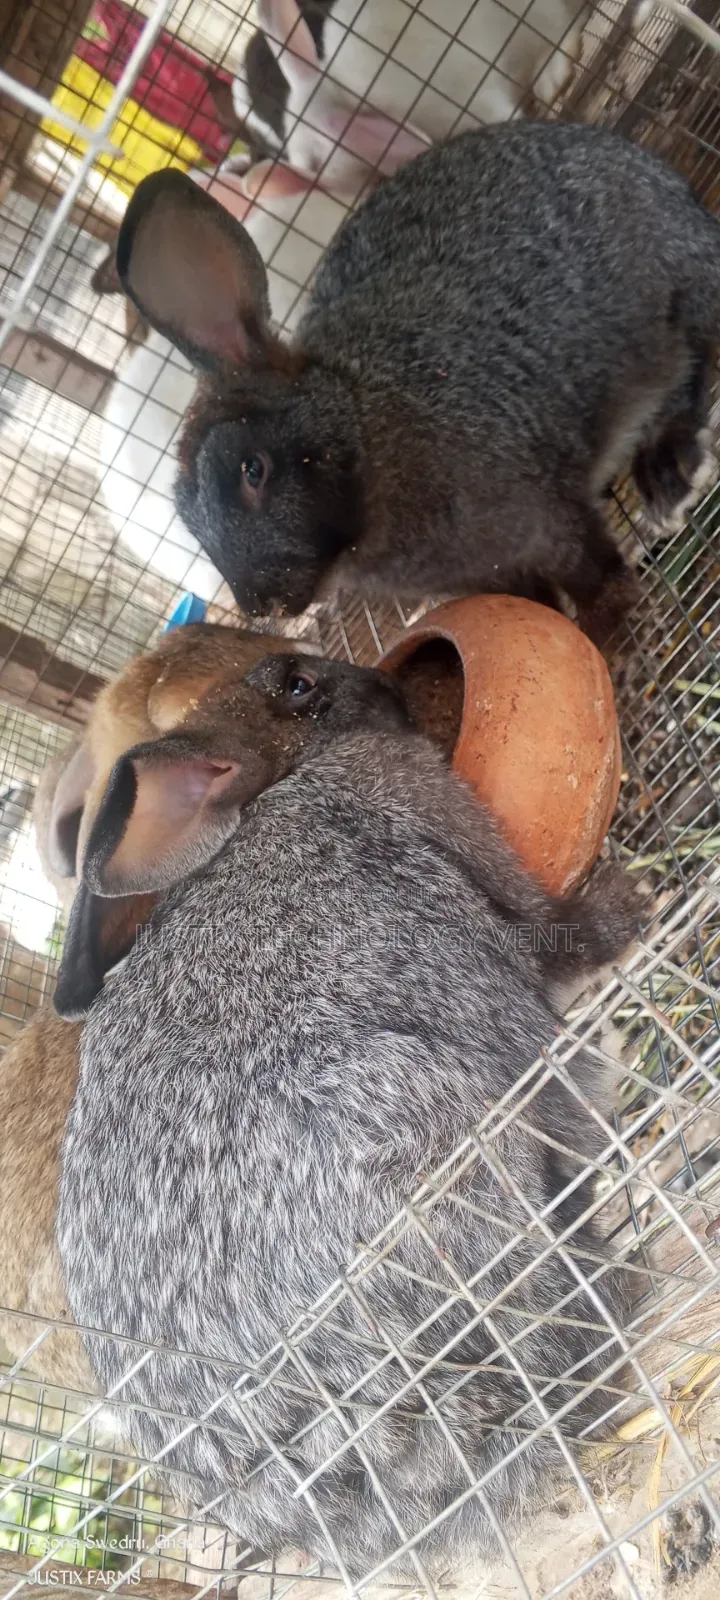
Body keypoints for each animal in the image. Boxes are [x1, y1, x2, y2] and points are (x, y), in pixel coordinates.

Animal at [112, 122, 720, 635]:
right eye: (190, 524)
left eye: (253, 469)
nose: (265, 603)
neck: (362, 421)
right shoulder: (497, 574)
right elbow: (533, 605)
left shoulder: (545, 516)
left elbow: (592, 572)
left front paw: (612, 631)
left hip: (672, 303)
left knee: (690, 370)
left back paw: (669, 480)